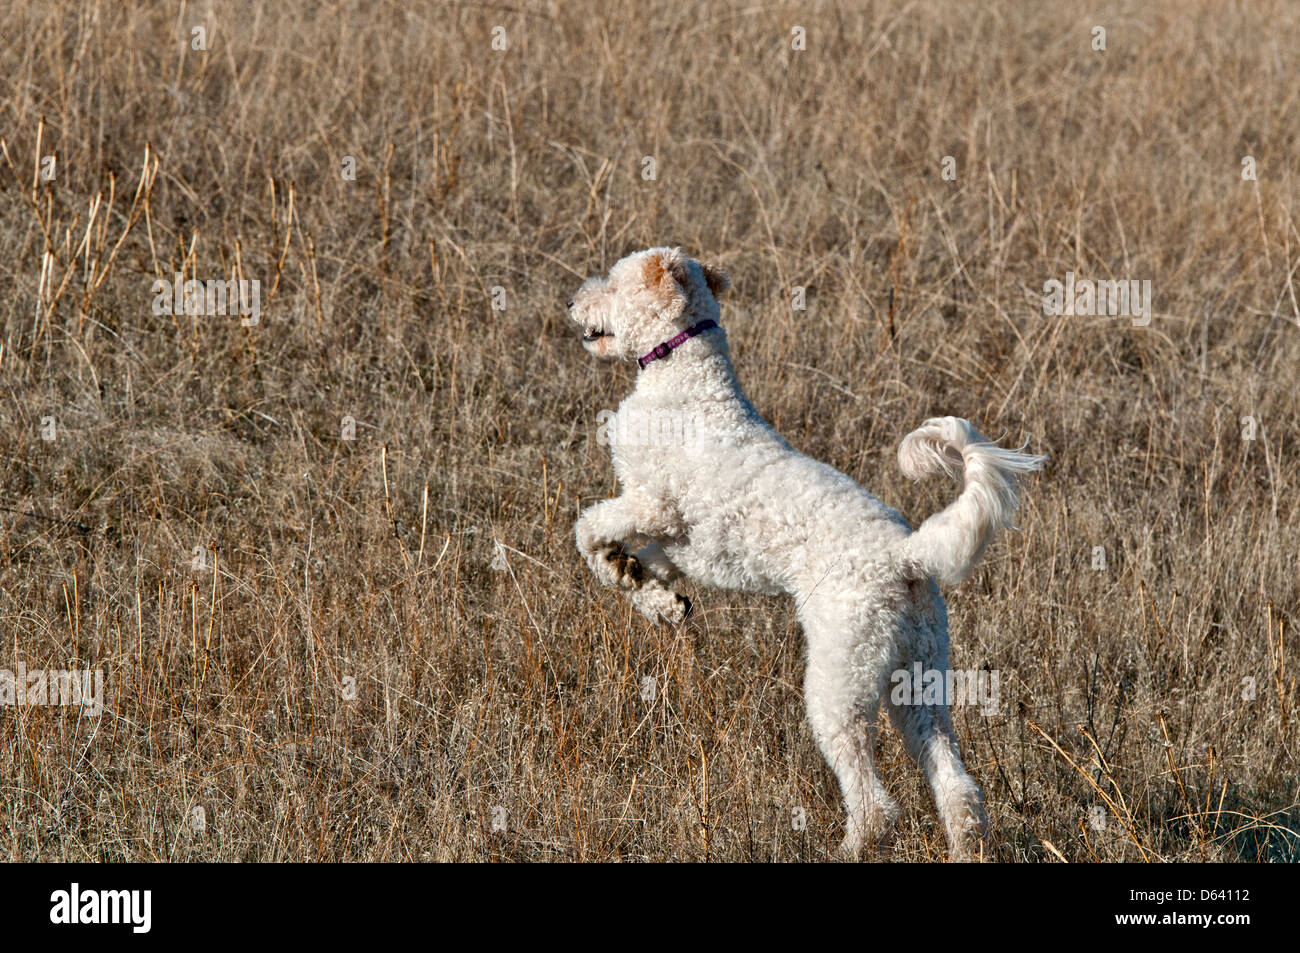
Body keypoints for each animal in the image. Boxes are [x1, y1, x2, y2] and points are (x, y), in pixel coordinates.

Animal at [572, 249, 1045, 858]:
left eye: (613, 281)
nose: (573, 302)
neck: (685, 372)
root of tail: (908, 556)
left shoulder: (653, 505)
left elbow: (589, 529)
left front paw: (617, 567)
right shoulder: (686, 546)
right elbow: (650, 565)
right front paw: (657, 598)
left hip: (839, 682)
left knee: (874, 803)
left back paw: (846, 847)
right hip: (918, 684)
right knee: (959, 789)